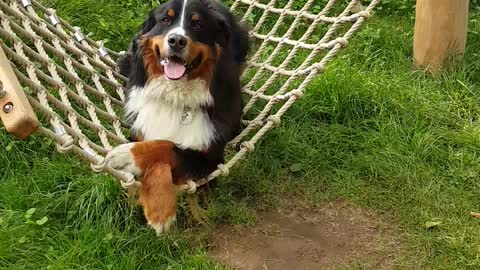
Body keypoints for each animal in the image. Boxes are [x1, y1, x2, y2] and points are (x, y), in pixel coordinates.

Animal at [106, 0, 249, 235]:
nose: (177, 40)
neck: (174, 95)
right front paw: (158, 205)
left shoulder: (209, 160)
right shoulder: (140, 130)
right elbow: (158, 147)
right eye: (165, 19)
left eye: (197, 24)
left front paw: (125, 156)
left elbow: (167, 147)